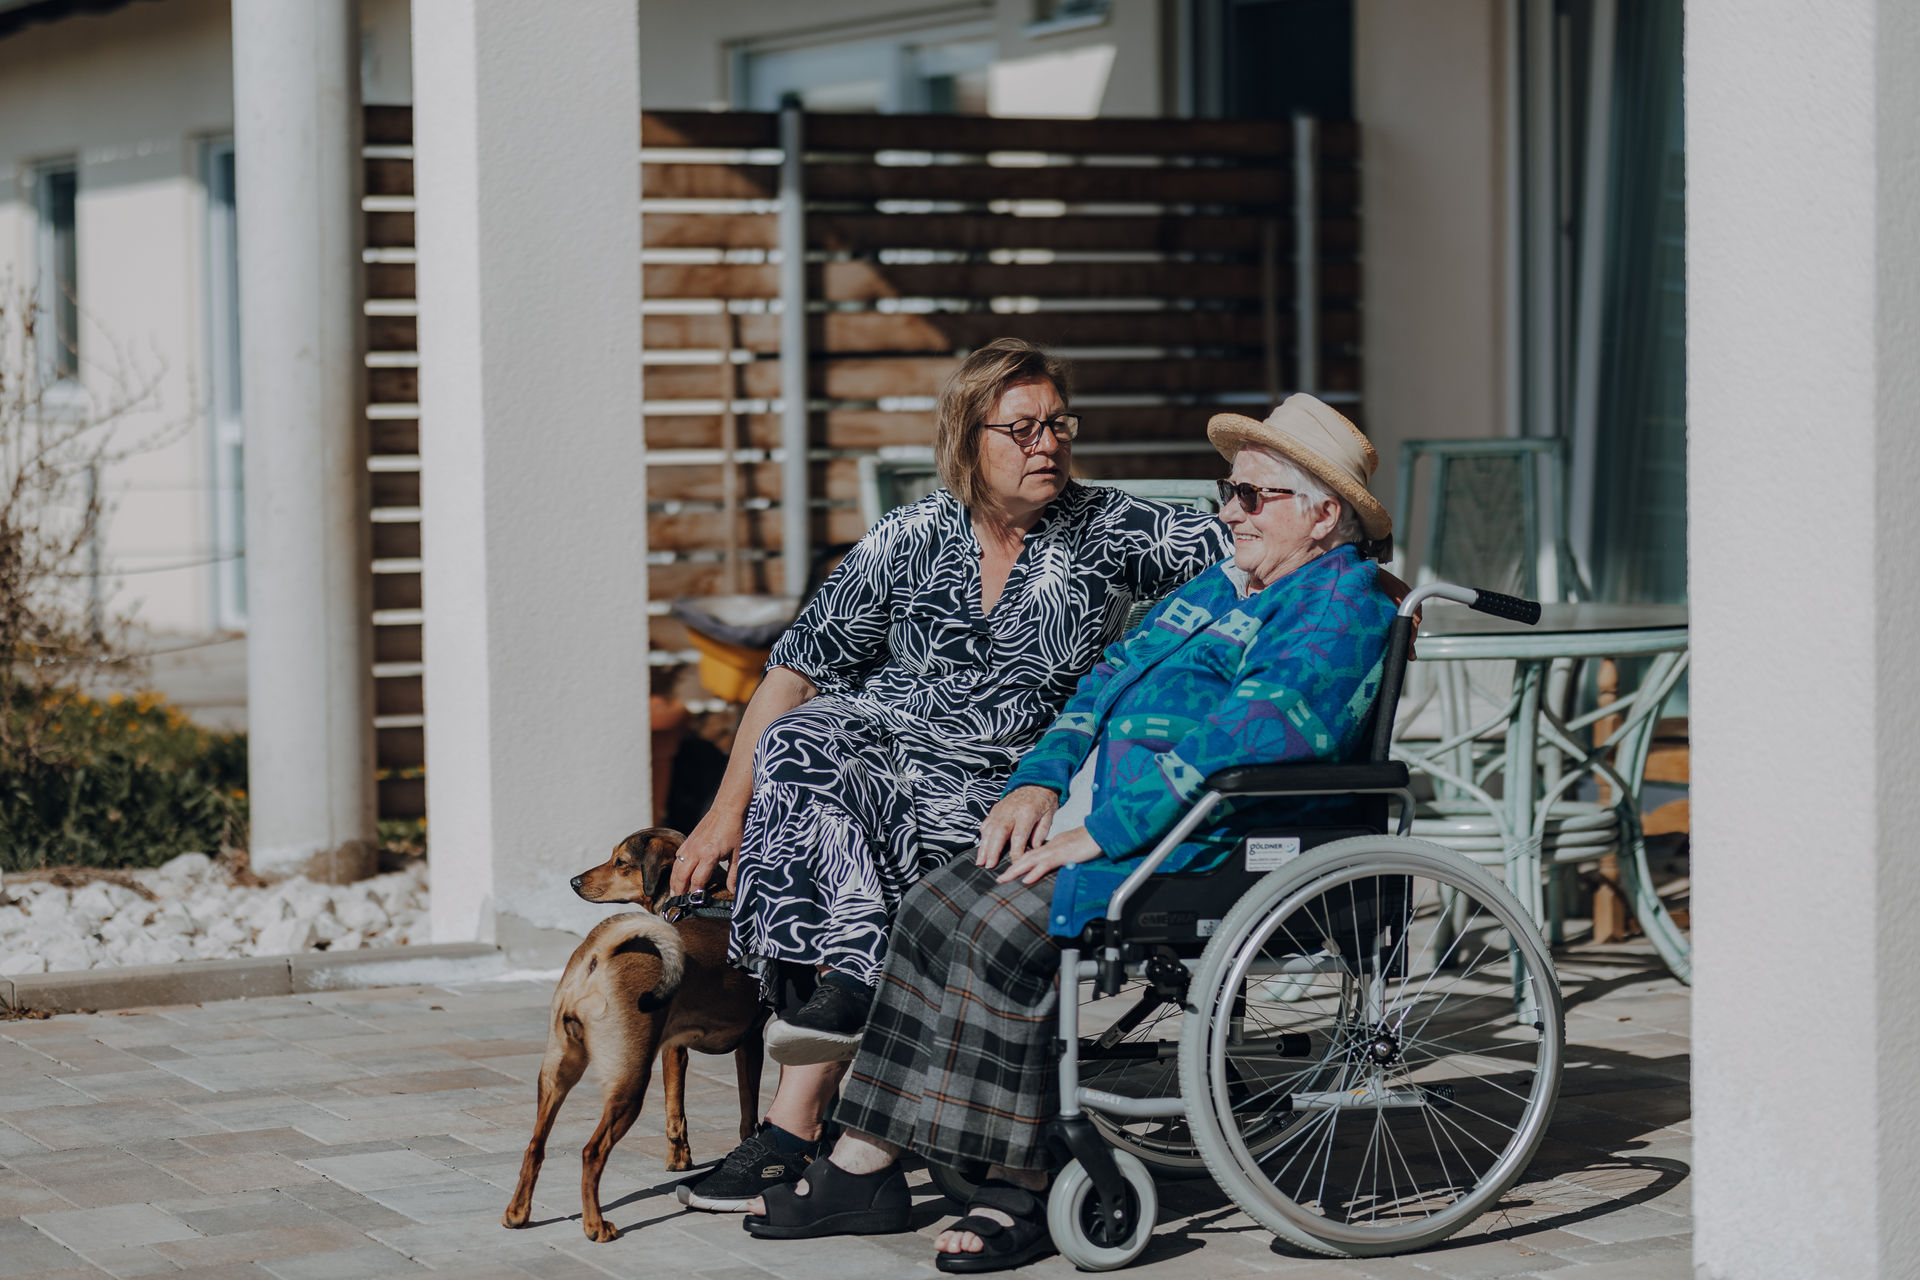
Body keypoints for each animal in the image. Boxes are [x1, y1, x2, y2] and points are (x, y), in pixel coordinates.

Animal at [502, 827, 767, 1243]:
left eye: (620, 862)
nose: (574, 881)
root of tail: (598, 955)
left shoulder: (675, 1048)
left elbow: (675, 1110)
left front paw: (679, 1159)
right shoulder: (751, 1041)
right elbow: (747, 1112)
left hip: (557, 1072)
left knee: (535, 1145)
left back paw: (517, 1213)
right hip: (629, 1081)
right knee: (591, 1152)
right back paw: (596, 1226)